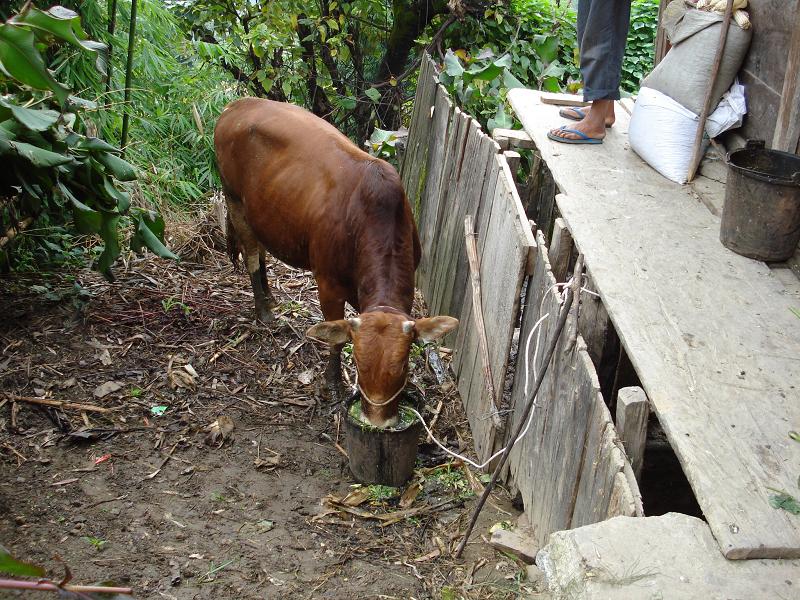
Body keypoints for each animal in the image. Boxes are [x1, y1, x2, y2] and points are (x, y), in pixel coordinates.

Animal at [212, 98, 456, 426]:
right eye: (360, 365)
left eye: (403, 365)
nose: (378, 422)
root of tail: (237, 104)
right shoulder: (327, 284)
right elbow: (336, 338)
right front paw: (333, 383)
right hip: (234, 199)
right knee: (251, 255)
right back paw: (264, 311)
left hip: (259, 211)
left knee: (261, 253)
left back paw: (271, 297)